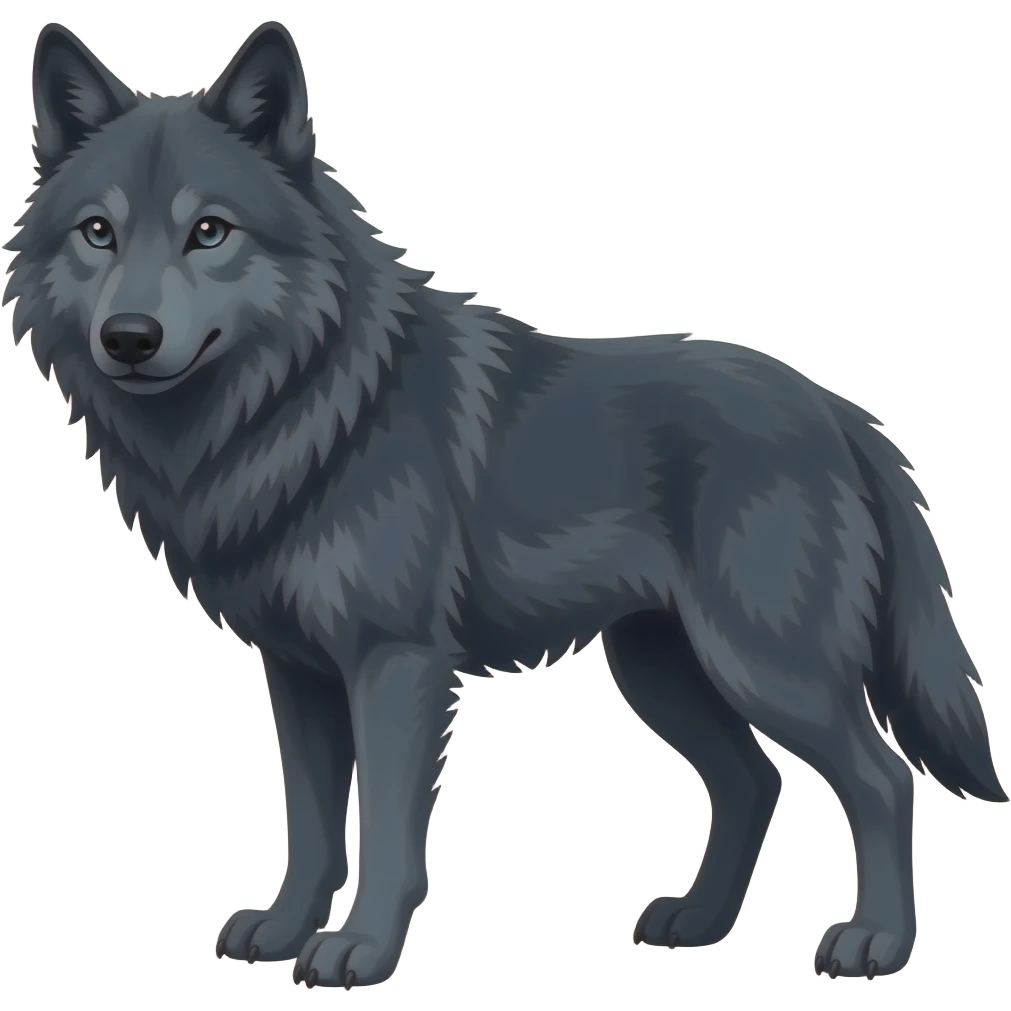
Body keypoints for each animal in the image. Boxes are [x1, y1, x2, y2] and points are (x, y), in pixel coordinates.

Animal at [6, 19, 1005, 989]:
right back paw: (696, 924)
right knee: (753, 783)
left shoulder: (395, 663)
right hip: (662, 670)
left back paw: (873, 943)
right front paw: (287, 930)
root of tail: (838, 410)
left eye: (209, 231)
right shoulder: (297, 674)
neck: (306, 406)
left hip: (761, 664)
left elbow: (388, 834)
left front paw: (360, 951)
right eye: (98, 231)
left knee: (881, 780)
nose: (128, 338)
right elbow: (315, 829)